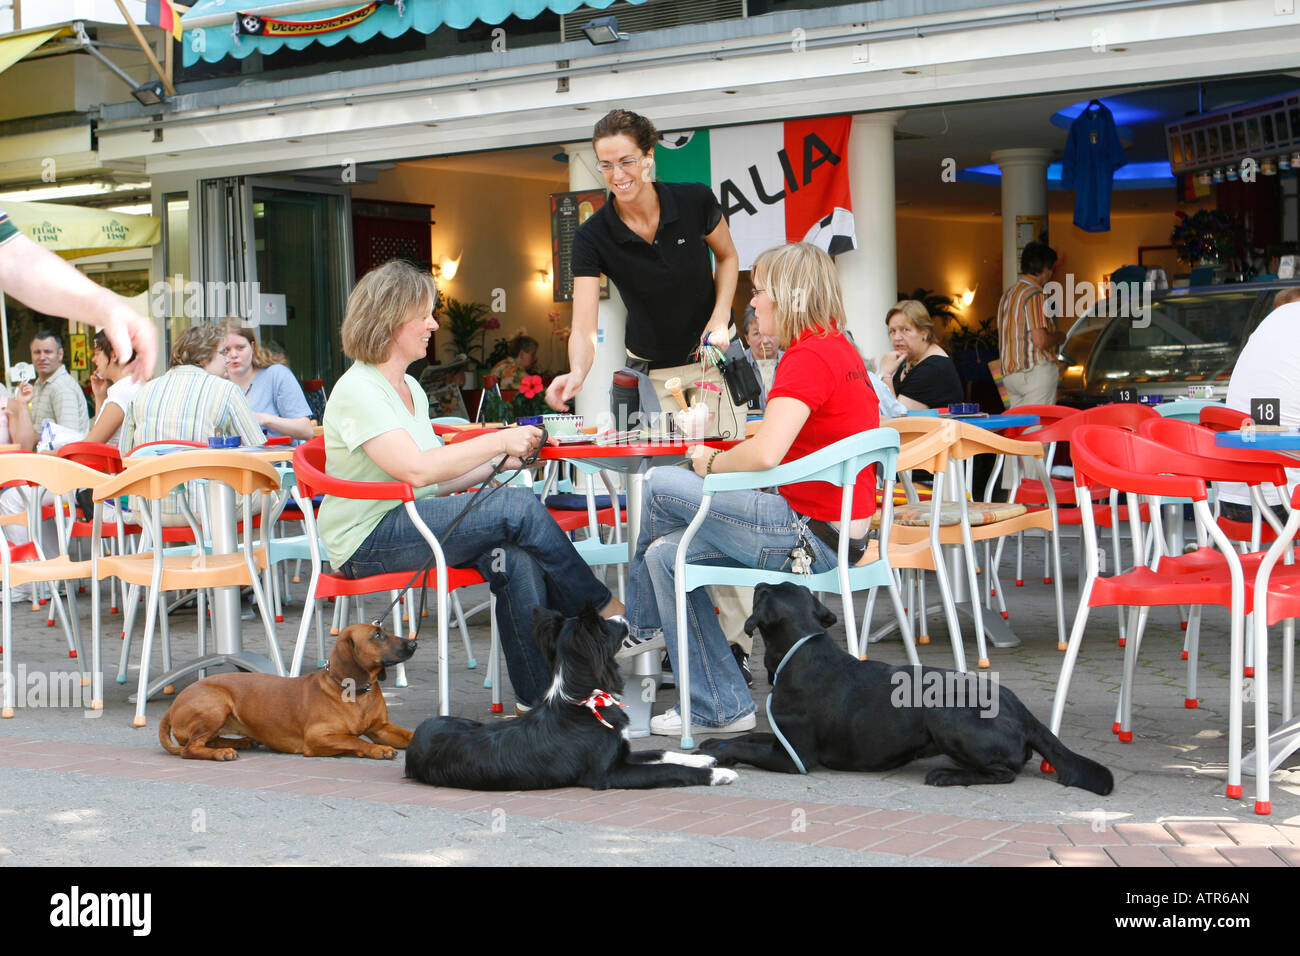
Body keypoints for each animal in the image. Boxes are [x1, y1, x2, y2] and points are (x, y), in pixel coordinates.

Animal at [403, 606, 743, 790]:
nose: (624, 616)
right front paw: (718, 773)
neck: (586, 701)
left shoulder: (621, 753)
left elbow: (662, 753)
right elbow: (669, 769)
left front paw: (702, 758)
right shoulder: (609, 773)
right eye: (605, 624)